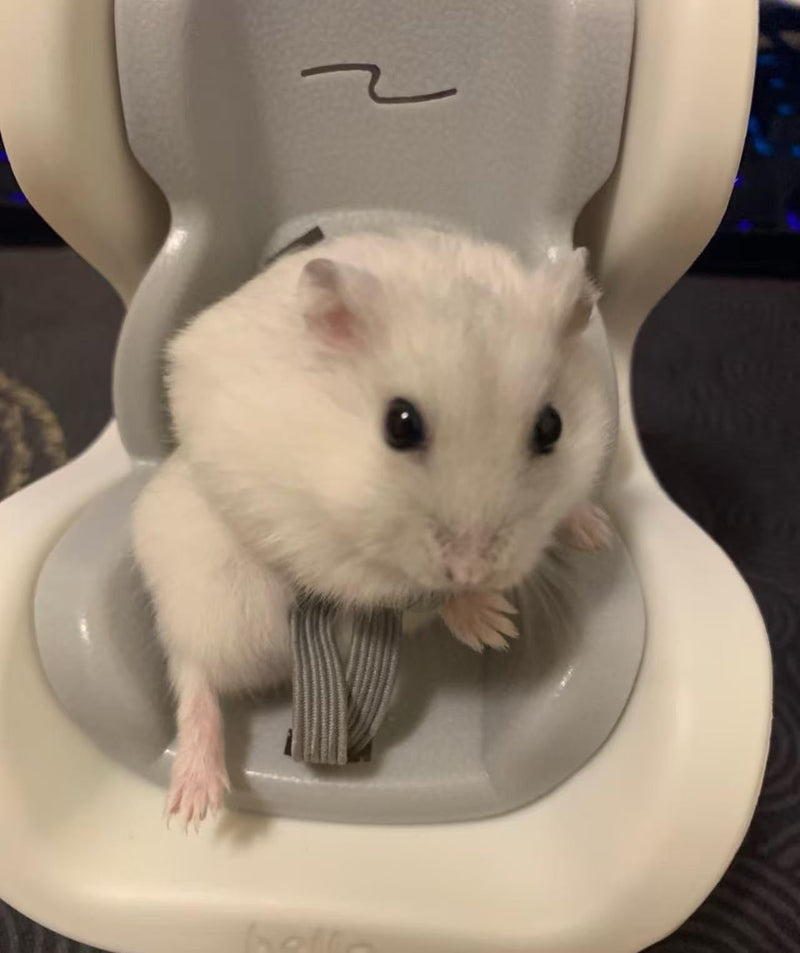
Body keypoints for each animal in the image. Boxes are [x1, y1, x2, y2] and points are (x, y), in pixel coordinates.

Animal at [132, 228, 614, 827]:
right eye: (399, 424)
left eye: (553, 427)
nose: (471, 569)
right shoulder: (310, 539)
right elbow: (406, 590)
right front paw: (494, 625)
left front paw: (597, 534)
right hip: (200, 584)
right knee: (192, 674)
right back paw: (194, 807)